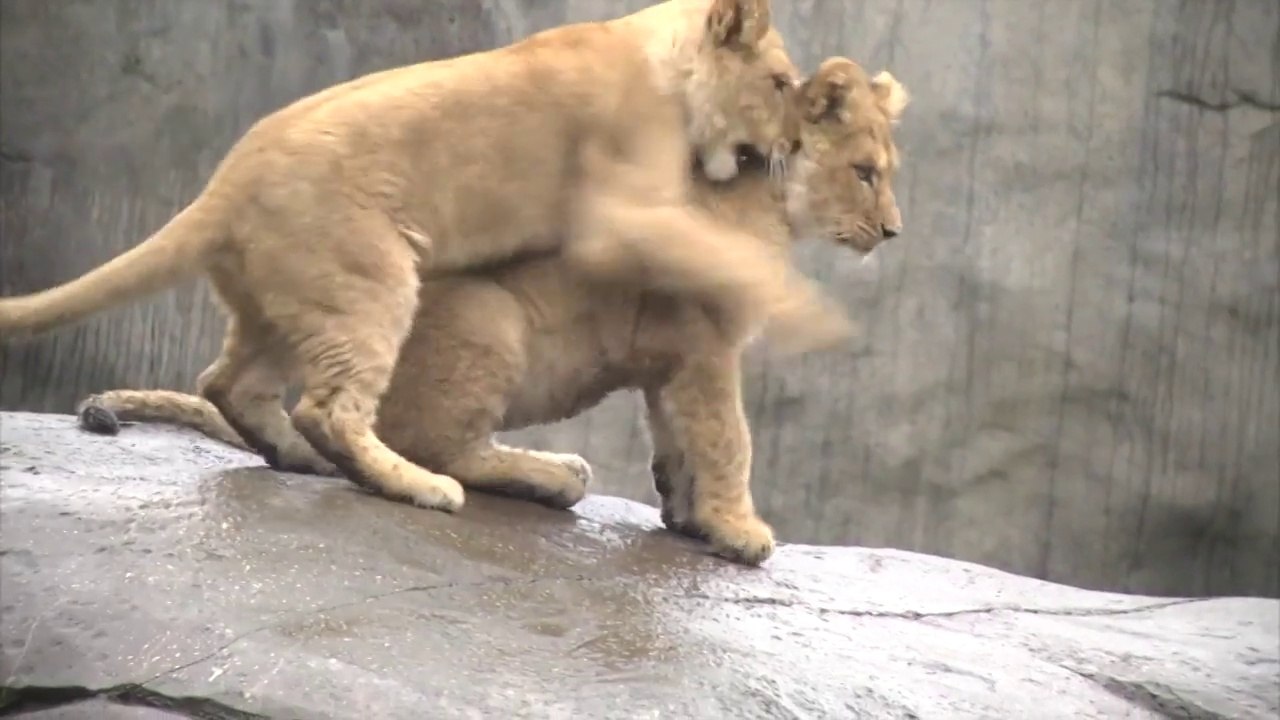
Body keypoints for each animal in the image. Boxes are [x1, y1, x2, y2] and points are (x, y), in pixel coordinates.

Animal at [0, 0, 853, 514]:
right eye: (779, 81)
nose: (792, 143)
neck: (656, 49)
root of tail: (224, 184)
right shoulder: (621, 210)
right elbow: (711, 253)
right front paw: (811, 314)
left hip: (283, 302)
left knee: (229, 384)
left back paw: (300, 459)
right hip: (369, 278)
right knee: (332, 407)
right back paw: (416, 483)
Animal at [76, 57, 911, 566]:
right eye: (866, 173)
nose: (893, 232)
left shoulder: (671, 358)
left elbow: (679, 439)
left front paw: (690, 516)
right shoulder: (705, 344)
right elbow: (730, 438)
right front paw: (741, 531)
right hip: (489, 320)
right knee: (433, 448)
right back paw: (548, 471)